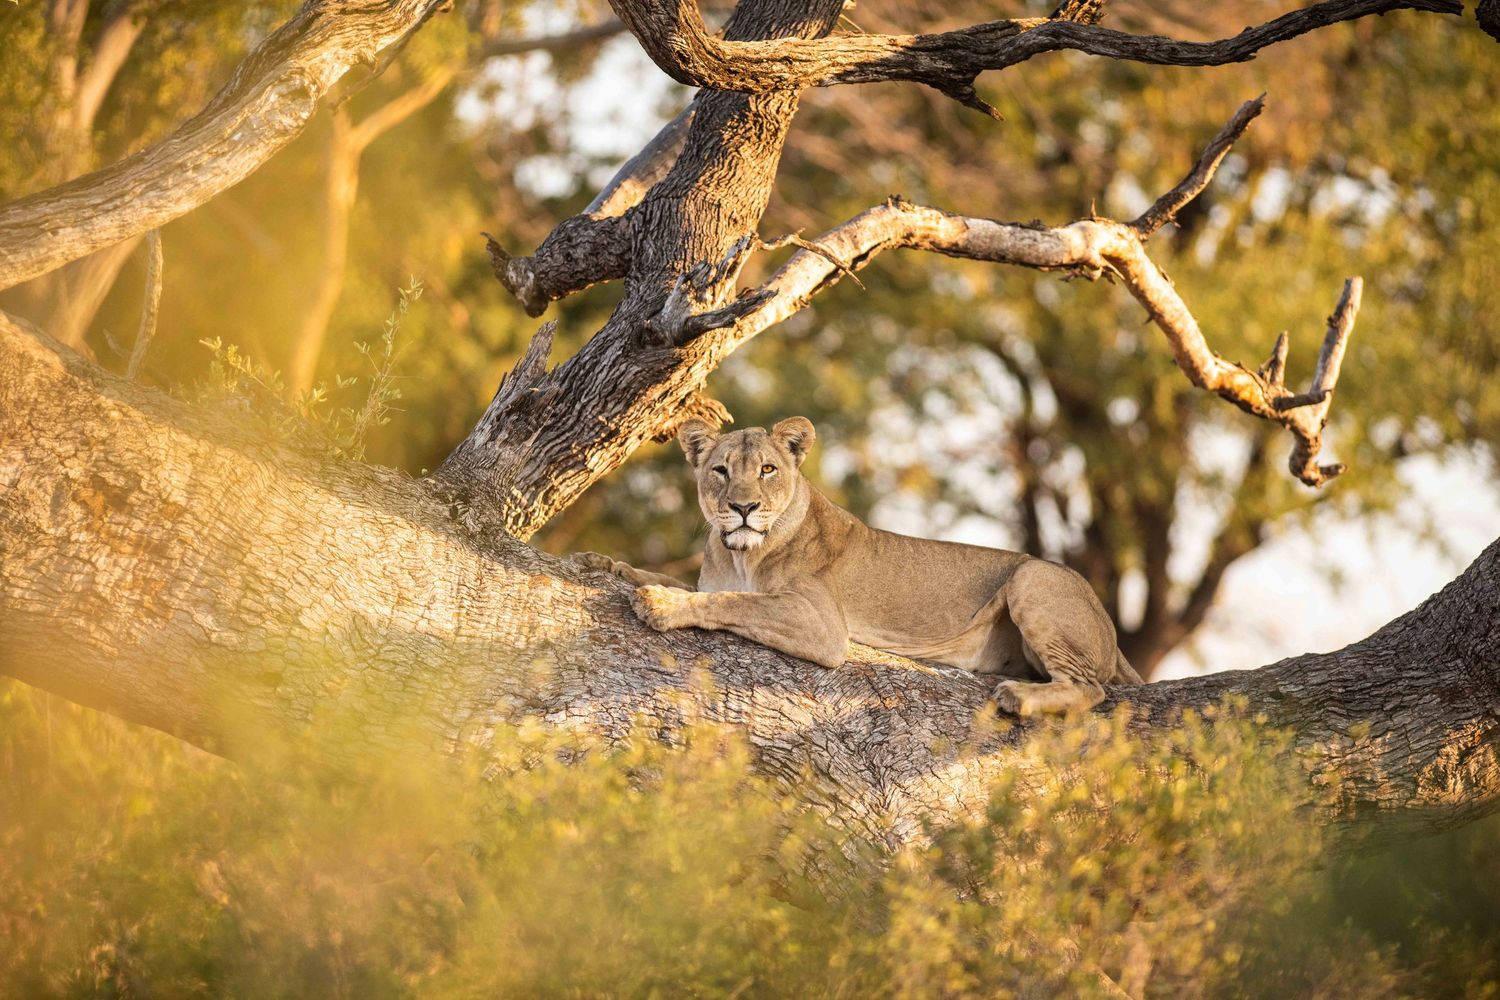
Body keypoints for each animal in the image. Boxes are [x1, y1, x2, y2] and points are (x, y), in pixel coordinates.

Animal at [573, 416, 1142, 715]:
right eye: (720, 471)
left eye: (767, 470)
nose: (743, 507)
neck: (740, 554)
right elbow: (676, 578)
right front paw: (604, 563)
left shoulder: (821, 626)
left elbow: (732, 601)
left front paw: (661, 604)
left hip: (1036, 577)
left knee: (1092, 688)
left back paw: (1019, 696)